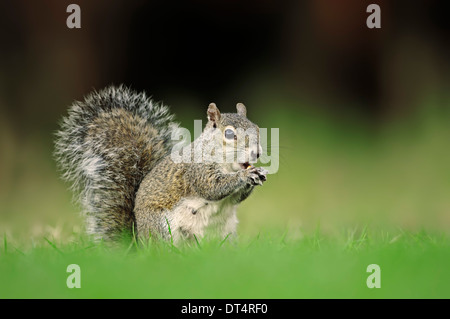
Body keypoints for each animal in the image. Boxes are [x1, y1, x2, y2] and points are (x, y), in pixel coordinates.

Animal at [55, 86, 268, 244]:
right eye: (230, 134)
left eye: (257, 128)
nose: (257, 153)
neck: (226, 164)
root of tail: (139, 244)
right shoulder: (196, 169)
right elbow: (212, 187)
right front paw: (244, 177)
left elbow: (236, 198)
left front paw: (259, 174)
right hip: (162, 228)